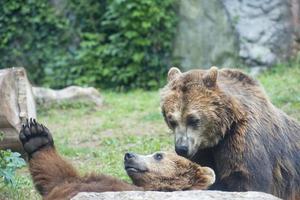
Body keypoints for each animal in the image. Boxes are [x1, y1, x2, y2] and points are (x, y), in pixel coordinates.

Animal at [161, 66, 300, 199]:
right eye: (171, 120)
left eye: (193, 119)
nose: (182, 148)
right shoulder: (202, 150)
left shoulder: (242, 138)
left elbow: (247, 179)